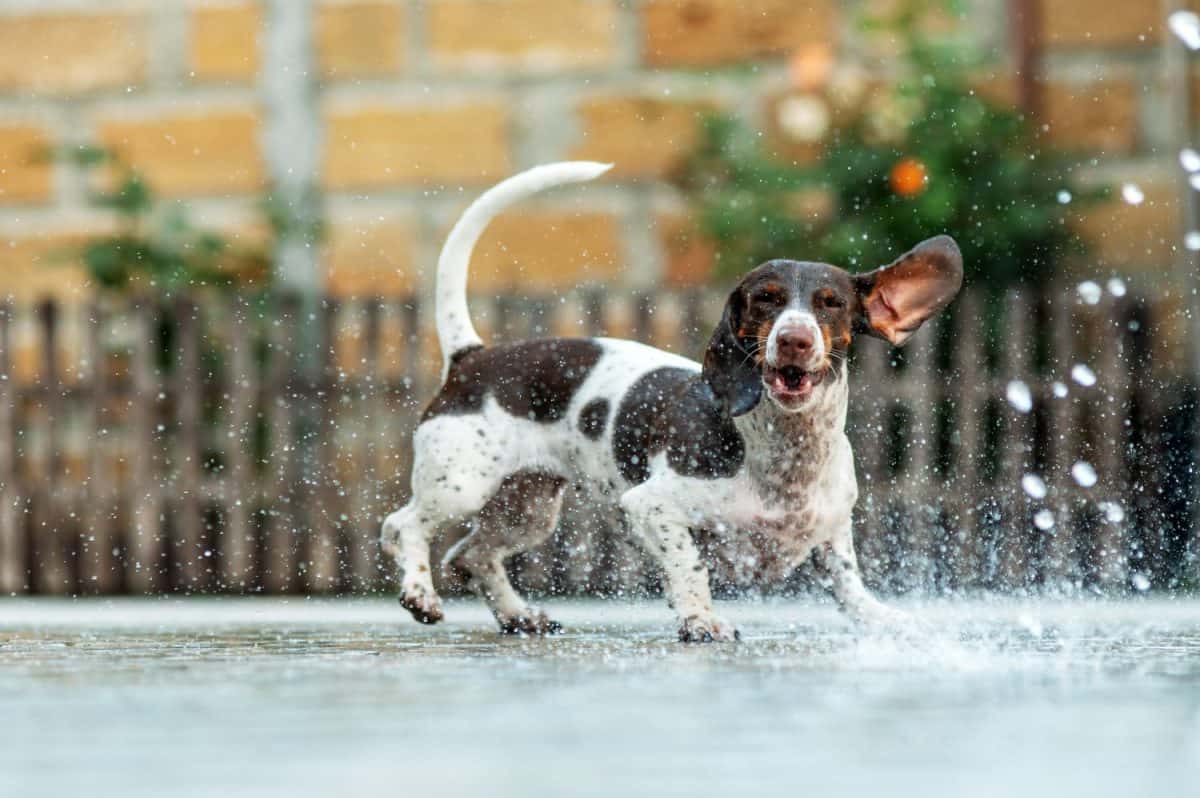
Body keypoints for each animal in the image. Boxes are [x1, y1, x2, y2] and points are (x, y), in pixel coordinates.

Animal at [384, 162, 964, 643]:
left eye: (832, 304)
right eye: (766, 299)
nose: (794, 339)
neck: (784, 454)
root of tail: (473, 357)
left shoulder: (831, 534)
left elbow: (849, 590)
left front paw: (888, 620)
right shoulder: (650, 506)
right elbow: (691, 566)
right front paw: (701, 619)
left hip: (527, 507)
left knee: (471, 555)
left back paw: (518, 615)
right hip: (460, 484)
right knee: (402, 526)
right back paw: (420, 594)